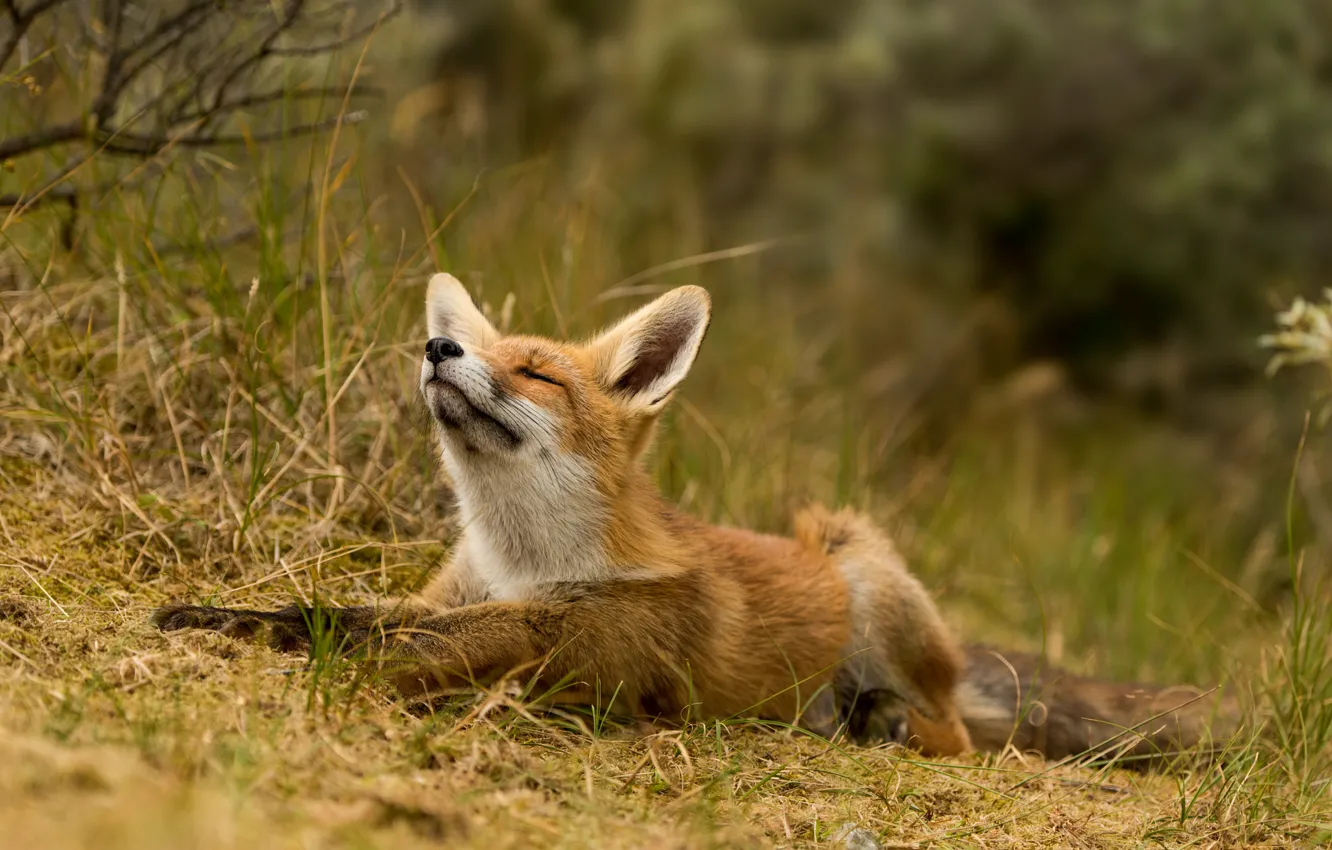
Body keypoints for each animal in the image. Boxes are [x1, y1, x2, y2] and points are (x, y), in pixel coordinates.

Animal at [152, 275, 1240, 765]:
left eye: (535, 371)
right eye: (472, 345)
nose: (435, 348)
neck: (521, 557)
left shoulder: (565, 635)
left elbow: (393, 645)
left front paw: (333, 675)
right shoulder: (463, 599)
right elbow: (332, 612)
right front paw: (215, 620)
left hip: (862, 561)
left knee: (951, 734)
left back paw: (879, 724)